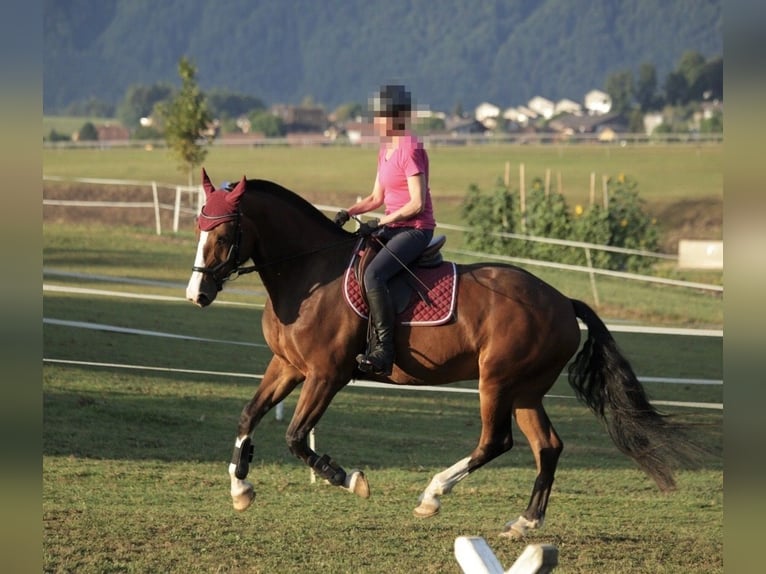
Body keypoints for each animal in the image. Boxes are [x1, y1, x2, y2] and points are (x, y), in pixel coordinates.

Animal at [184, 170, 704, 540]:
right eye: (197, 228)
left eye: (224, 234)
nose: (196, 294)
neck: (311, 273)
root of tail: (561, 300)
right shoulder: (288, 367)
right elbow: (248, 414)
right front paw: (240, 487)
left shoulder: (327, 374)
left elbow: (296, 437)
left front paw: (347, 478)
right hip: (525, 390)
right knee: (547, 447)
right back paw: (525, 522)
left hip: (496, 381)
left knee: (496, 442)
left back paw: (433, 495)